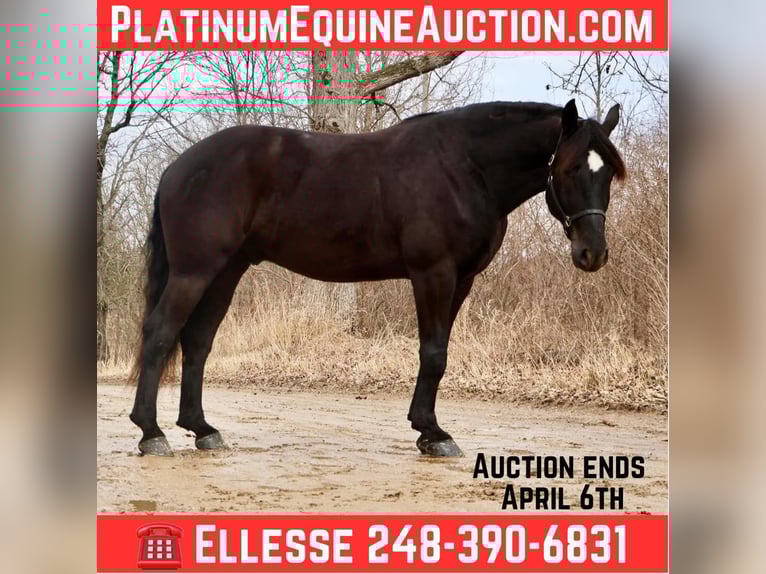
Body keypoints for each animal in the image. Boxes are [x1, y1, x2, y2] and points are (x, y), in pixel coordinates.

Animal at [129, 99, 625, 457]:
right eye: (570, 168)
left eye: (609, 174)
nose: (593, 253)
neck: (464, 167)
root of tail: (177, 168)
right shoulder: (433, 273)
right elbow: (433, 353)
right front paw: (433, 433)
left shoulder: (461, 280)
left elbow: (441, 352)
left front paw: (427, 430)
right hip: (195, 270)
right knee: (160, 333)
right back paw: (151, 433)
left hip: (226, 271)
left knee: (197, 342)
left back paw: (201, 429)